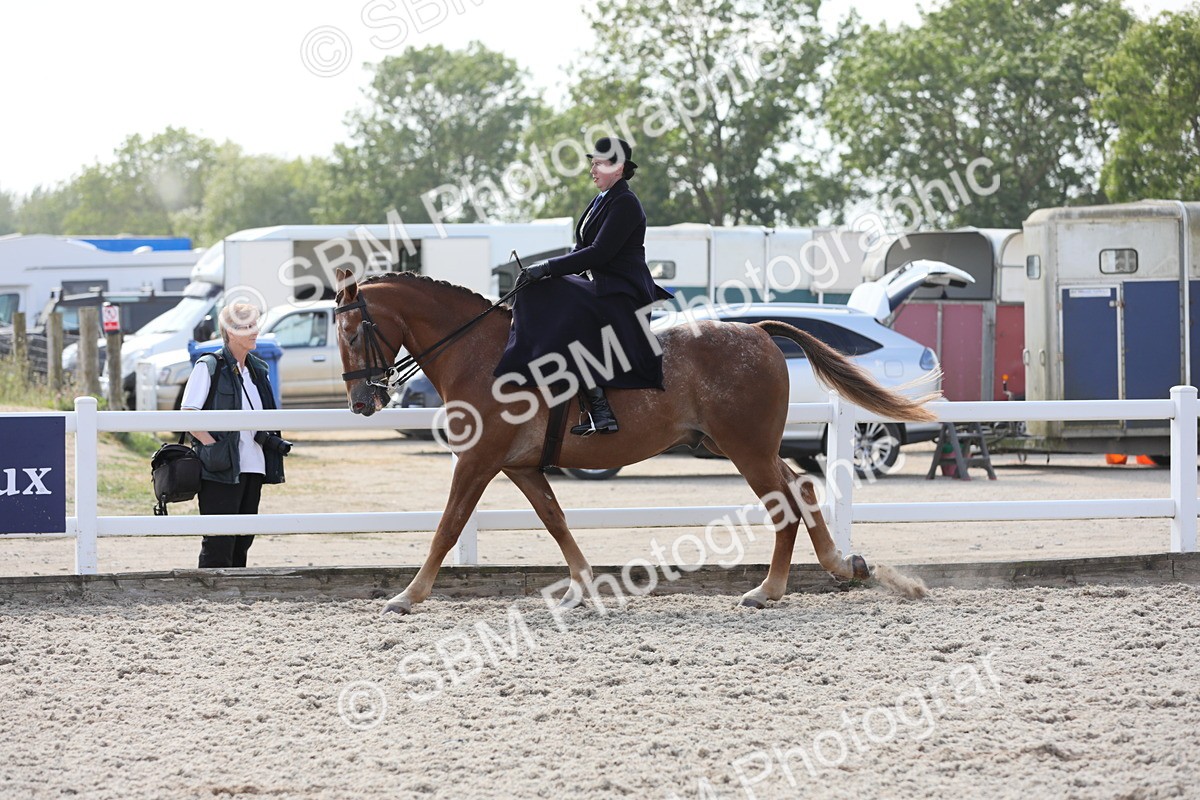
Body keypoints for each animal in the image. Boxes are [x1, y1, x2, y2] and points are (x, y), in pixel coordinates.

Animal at [332, 268, 936, 614]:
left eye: (353, 332)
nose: (362, 402)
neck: (481, 354)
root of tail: (758, 329)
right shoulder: (520, 466)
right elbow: (555, 521)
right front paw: (581, 588)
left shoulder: (477, 461)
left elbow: (448, 526)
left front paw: (408, 596)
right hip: (741, 446)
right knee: (802, 493)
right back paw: (842, 568)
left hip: (746, 449)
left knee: (785, 503)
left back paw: (770, 590)